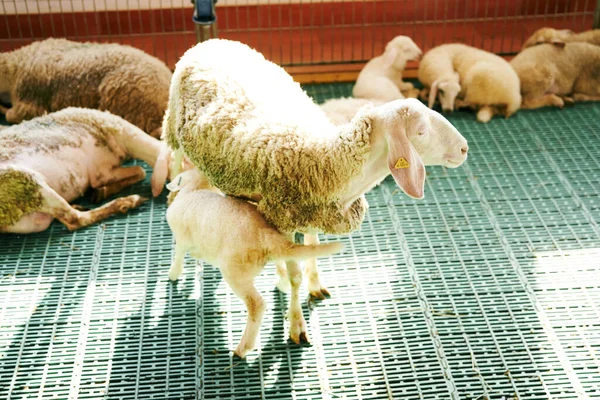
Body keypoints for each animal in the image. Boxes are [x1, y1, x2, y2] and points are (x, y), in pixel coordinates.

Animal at [0, 106, 164, 234]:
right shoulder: (102, 169)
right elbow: (141, 171)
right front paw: (103, 192)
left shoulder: (103, 171)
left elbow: (140, 172)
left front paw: (102, 191)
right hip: (27, 183)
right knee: (75, 220)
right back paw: (128, 202)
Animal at [165, 168, 342, 356]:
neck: (195, 189)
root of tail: (264, 234)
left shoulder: (181, 240)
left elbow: (178, 257)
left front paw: (173, 275)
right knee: (288, 270)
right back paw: (282, 284)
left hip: (235, 273)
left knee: (257, 304)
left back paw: (243, 348)